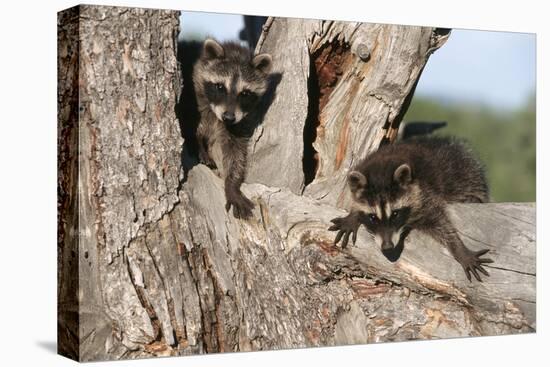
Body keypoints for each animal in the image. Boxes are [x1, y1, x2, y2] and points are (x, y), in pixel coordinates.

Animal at [193, 38, 274, 220]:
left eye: (244, 93)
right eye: (220, 87)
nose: (228, 117)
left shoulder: (239, 123)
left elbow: (235, 152)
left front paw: (231, 184)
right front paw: (198, 144)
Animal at [330, 137, 494, 284]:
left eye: (395, 214)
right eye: (373, 217)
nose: (388, 246)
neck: (383, 168)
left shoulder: (425, 193)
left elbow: (441, 223)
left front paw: (459, 249)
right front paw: (352, 217)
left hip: (469, 172)